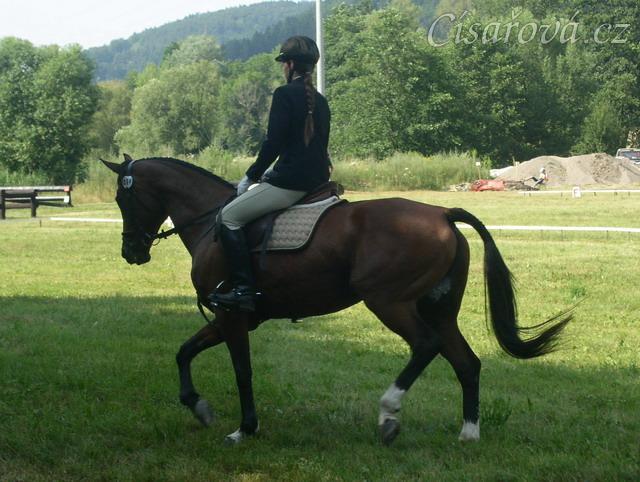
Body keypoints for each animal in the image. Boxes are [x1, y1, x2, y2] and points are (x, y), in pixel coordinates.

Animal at [102, 155, 571, 446]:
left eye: (123, 197)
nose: (131, 252)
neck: (213, 224)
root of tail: (442, 213)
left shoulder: (232, 317)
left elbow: (242, 372)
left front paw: (244, 429)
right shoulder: (230, 317)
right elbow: (183, 352)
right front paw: (198, 407)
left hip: (389, 302)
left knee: (426, 346)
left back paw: (388, 414)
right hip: (439, 310)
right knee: (466, 363)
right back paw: (468, 434)